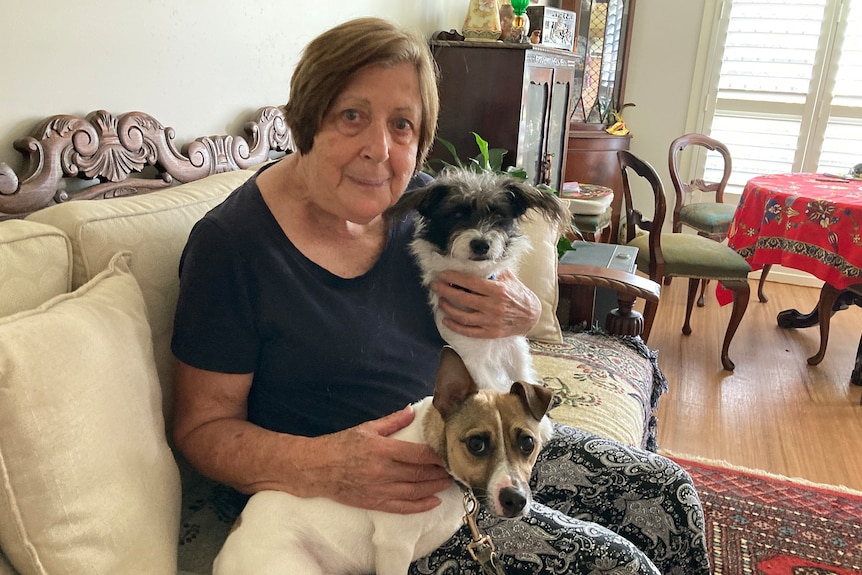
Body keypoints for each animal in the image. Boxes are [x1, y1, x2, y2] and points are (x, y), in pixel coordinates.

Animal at [388, 168, 572, 392]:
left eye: (498, 215)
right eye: (457, 214)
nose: (481, 244)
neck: (474, 276)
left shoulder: (514, 346)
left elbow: (524, 378)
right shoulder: (470, 359)